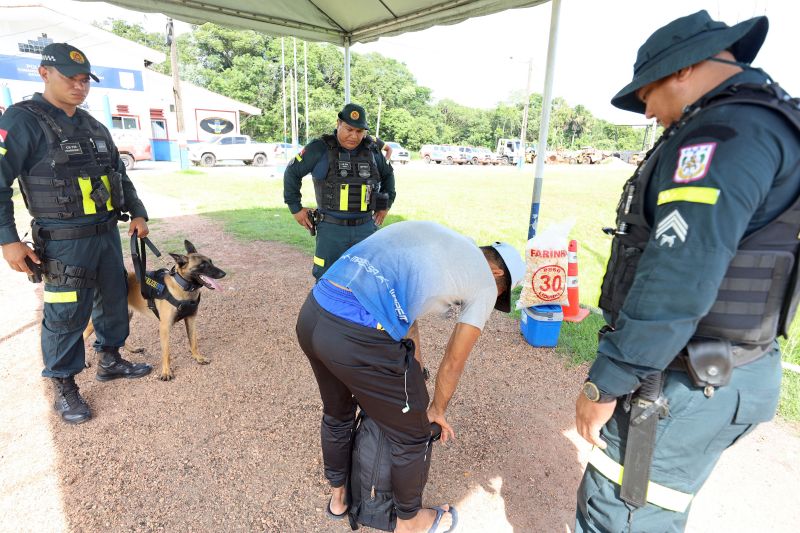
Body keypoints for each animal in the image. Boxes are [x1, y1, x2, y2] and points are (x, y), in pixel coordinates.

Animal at [83, 239, 225, 380]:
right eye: (202, 265)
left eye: (211, 261)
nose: (224, 273)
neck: (182, 286)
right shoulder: (164, 327)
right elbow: (167, 352)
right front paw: (166, 372)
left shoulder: (191, 319)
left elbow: (194, 341)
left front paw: (198, 358)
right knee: (83, 336)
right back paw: (84, 362)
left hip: (125, 316)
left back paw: (133, 349)